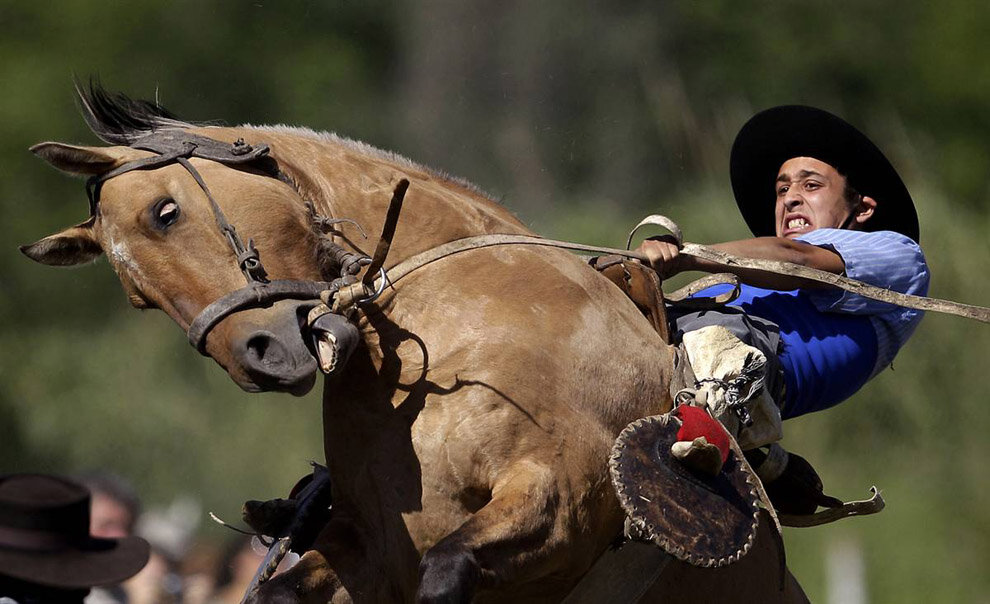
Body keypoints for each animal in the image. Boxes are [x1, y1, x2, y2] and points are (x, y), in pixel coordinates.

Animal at [23, 86, 808, 604]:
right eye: (138, 296)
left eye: (167, 212)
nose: (261, 357)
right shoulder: (368, 545)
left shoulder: (564, 497)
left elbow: (451, 569)